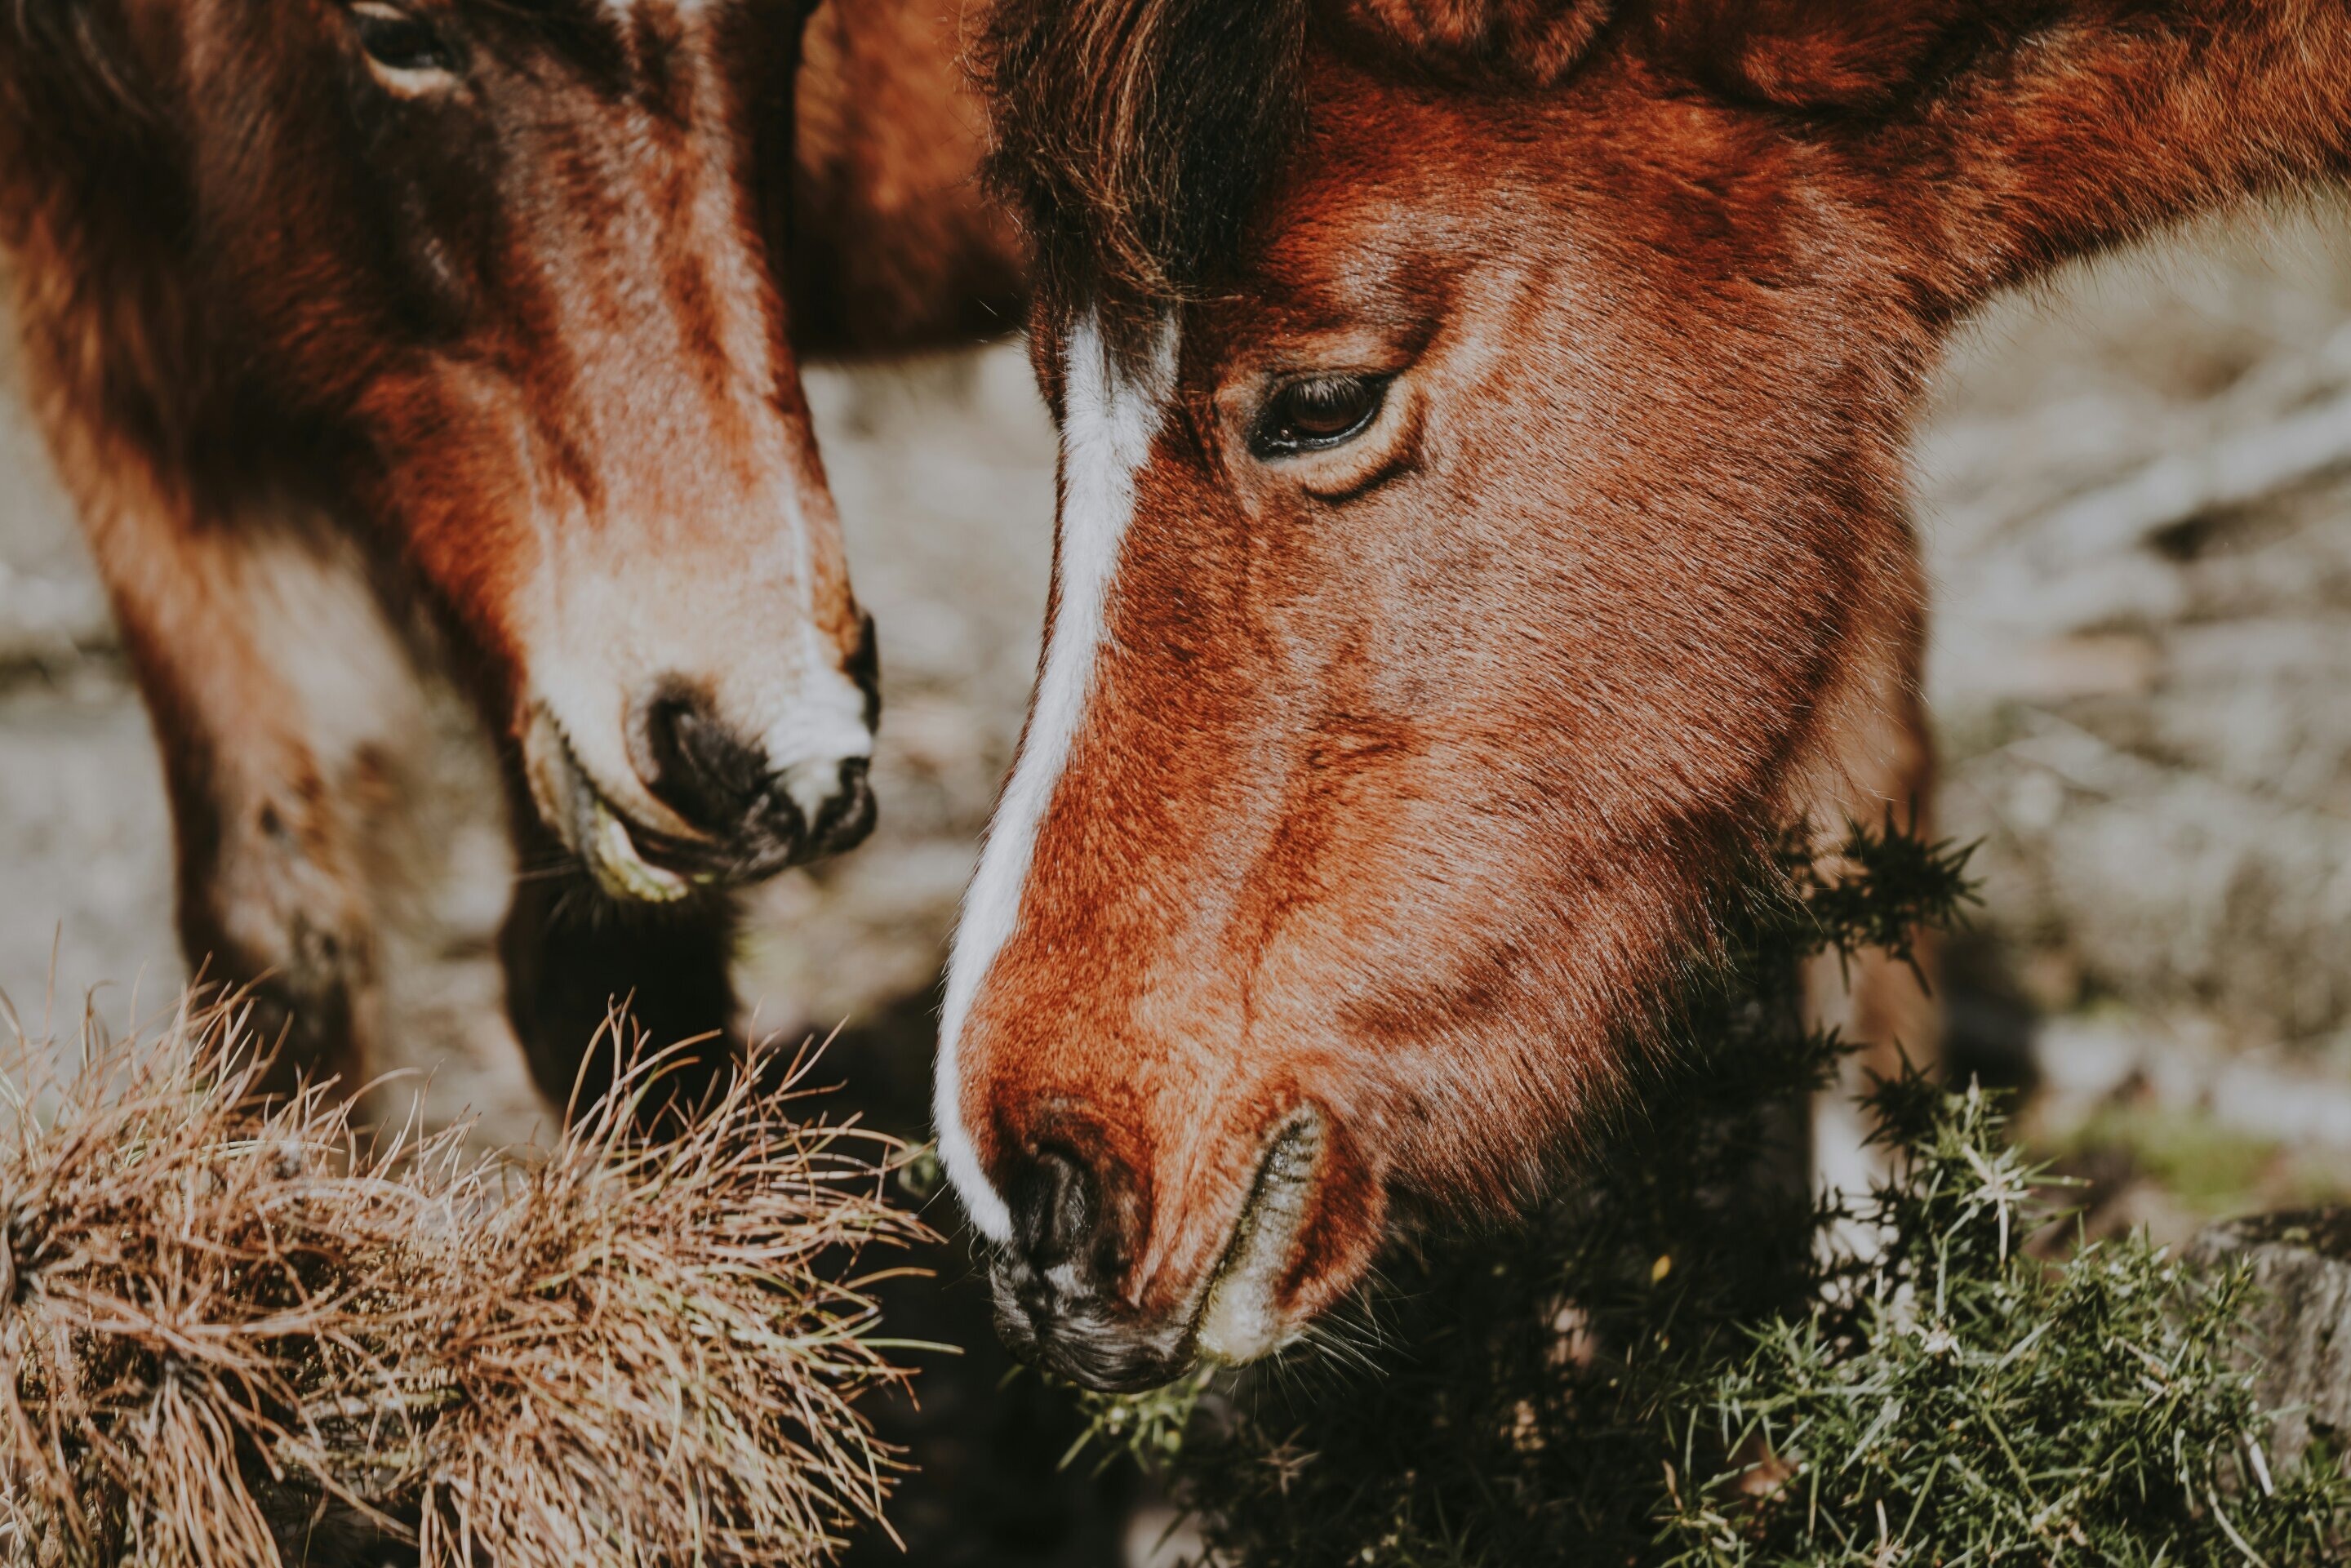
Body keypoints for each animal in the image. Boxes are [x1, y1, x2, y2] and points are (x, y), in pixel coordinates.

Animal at [7, 0, 1020, 1104]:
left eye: (800, 23)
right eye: (392, 33)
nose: (797, 752)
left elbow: (626, 1001)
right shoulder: (118, 369)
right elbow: (278, 946)